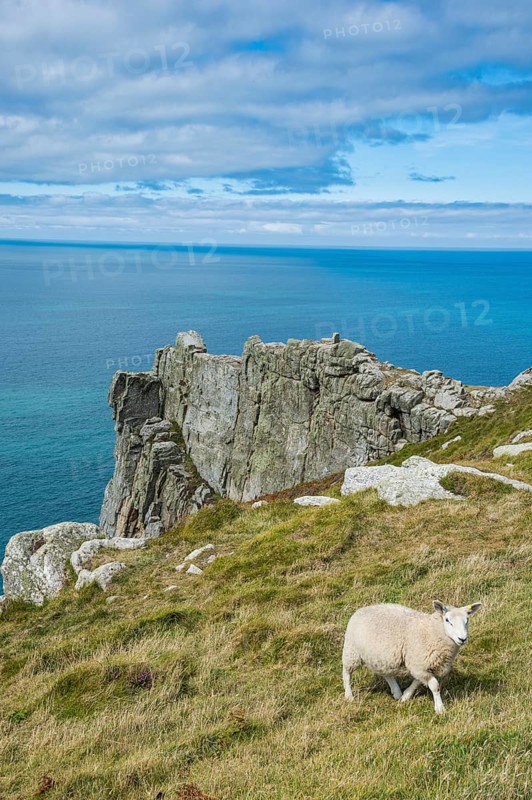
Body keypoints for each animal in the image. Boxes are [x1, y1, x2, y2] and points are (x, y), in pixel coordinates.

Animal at [342, 600, 481, 714]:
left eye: (467, 620)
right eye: (447, 620)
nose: (462, 639)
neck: (431, 631)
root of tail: (361, 609)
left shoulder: (422, 665)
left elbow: (417, 681)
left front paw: (405, 696)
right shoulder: (418, 664)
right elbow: (435, 686)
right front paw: (440, 708)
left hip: (381, 657)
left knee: (385, 673)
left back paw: (397, 692)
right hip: (352, 651)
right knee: (346, 672)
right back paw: (349, 696)